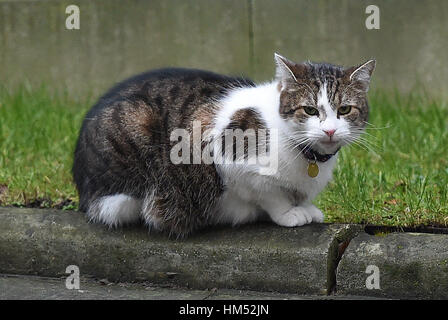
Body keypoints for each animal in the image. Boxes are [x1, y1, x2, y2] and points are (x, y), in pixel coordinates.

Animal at [73, 53, 374, 238]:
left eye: (345, 109)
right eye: (310, 110)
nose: (330, 130)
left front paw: (306, 206)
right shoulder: (231, 160)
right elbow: (269, 194)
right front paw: (289, 213)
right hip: (132, 155)